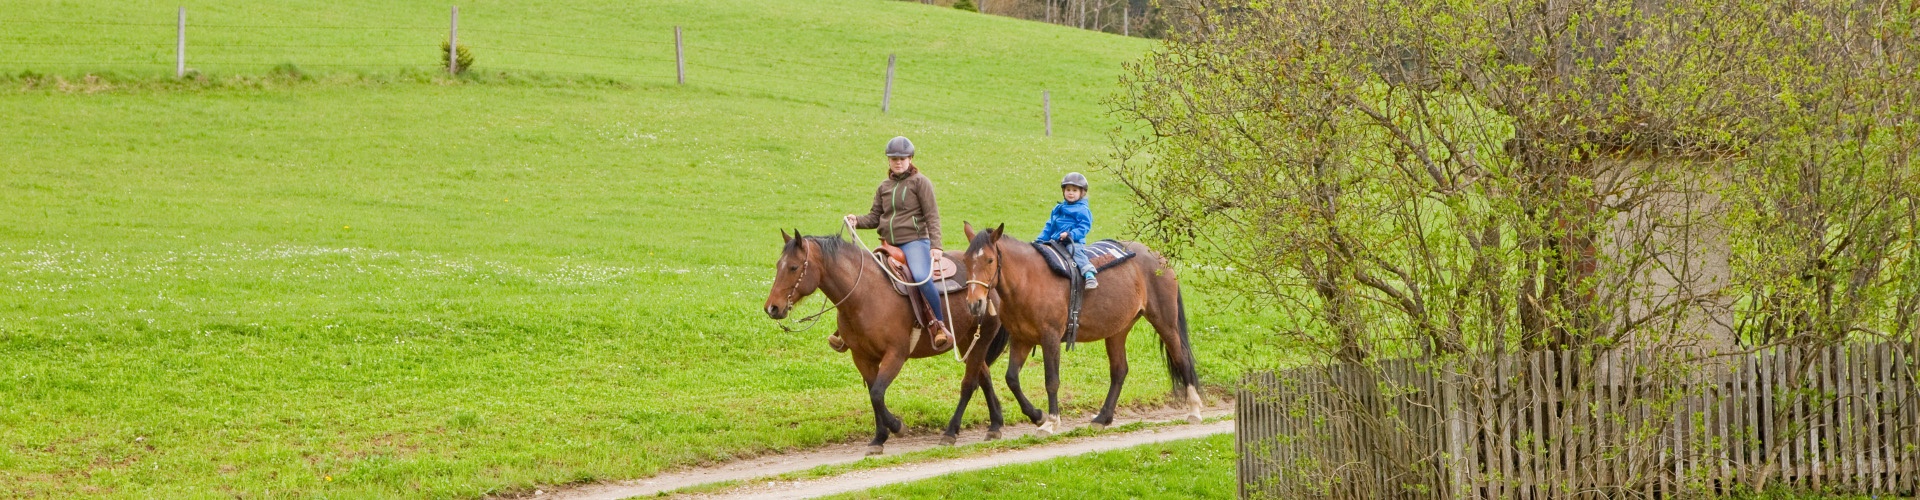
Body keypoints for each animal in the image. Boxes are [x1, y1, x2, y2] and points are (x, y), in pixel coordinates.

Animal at [760, 232, 1013, 455]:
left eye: (794, 267)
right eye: (778, 265)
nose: (772, 307)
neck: (864, 295)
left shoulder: (895, 355)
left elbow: (877, 393)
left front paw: (896, 427)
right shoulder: (862, 357)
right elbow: (874, 395)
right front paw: (879, 438)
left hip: (981, 338)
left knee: (969, 383)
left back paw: (951, 432)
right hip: (967, 340)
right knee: (984, 375)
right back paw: (995, 425)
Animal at [960, 223, 1198, 432]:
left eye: (990, 260)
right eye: (965, 260)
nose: (974, 303)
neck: (1028, 281)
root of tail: (1159, 258)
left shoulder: (1050, 338)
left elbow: (1051, 381)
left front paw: (1051, 422)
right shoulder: (1022, 339)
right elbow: (1011, 379)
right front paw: (1037, 415)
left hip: (1165, 322)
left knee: (1182, 359)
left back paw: (1194, 410)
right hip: (1117, 331)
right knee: (1119, 371)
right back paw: (1103, 417)